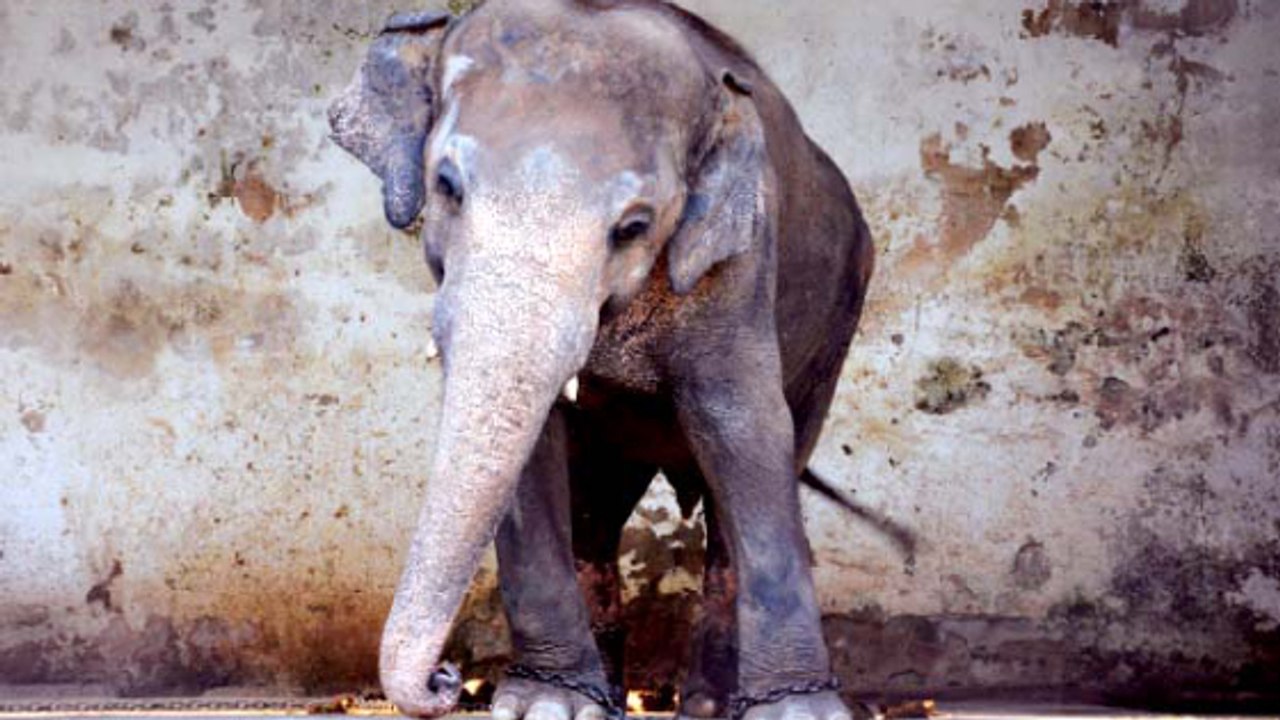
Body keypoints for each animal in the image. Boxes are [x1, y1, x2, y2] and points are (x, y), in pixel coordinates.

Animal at [327, 1, 875, 719]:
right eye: (446, 185)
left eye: (633, 228)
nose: (448, 679)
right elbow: (535, 455)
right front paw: (546, 705)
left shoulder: (741, 262)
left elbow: (744, 431)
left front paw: (798, 713)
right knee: (595, 509)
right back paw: (607, 694)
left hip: (838, 319)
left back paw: (704, 705)